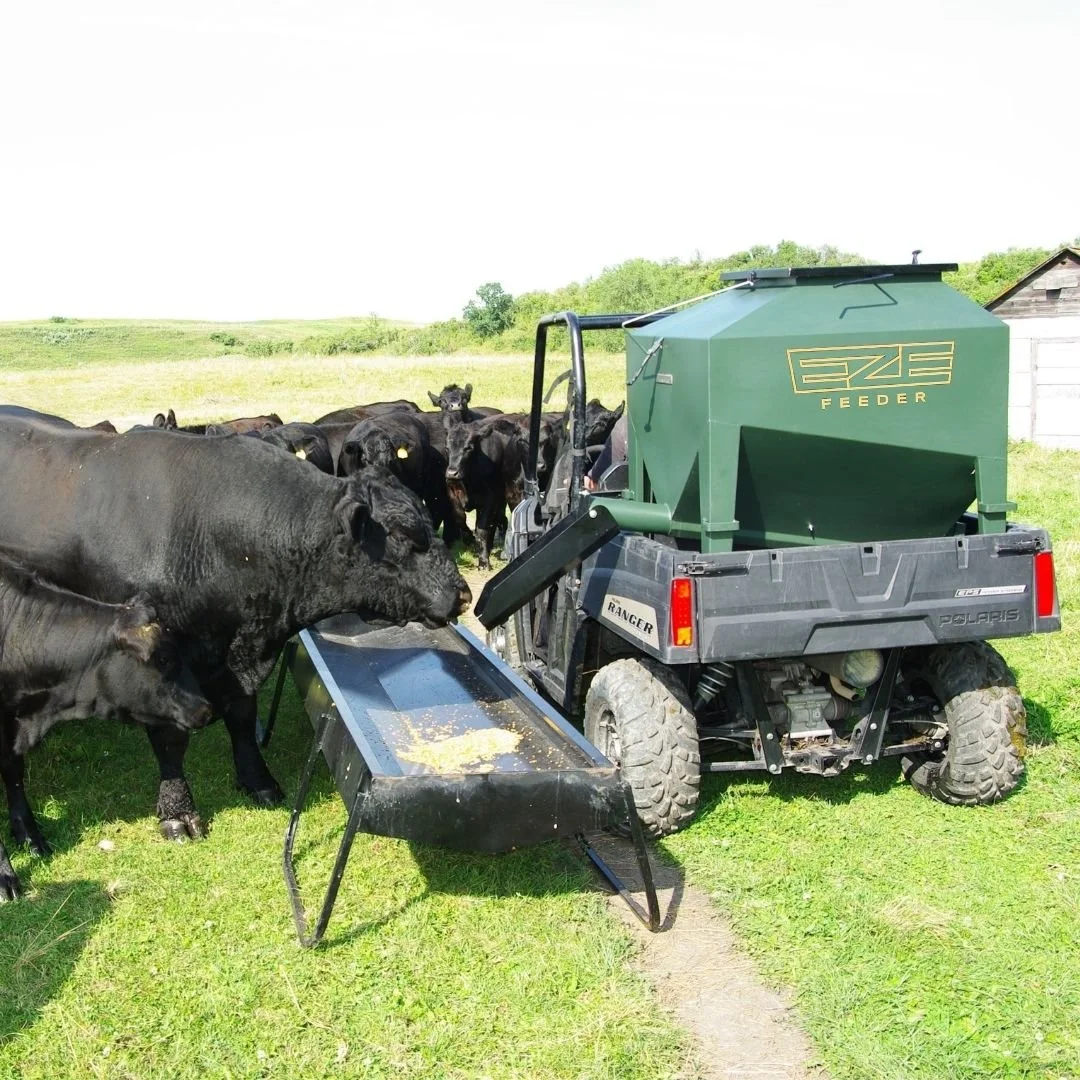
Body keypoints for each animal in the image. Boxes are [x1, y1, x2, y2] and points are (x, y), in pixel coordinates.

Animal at [0, 414, 472, 842]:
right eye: (402, 535)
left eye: (427, 519)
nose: (462, 593)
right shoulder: (158, 666)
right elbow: (170, 738)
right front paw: (178, 812)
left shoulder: (244, 652)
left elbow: (242, 716)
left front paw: (257, 779)